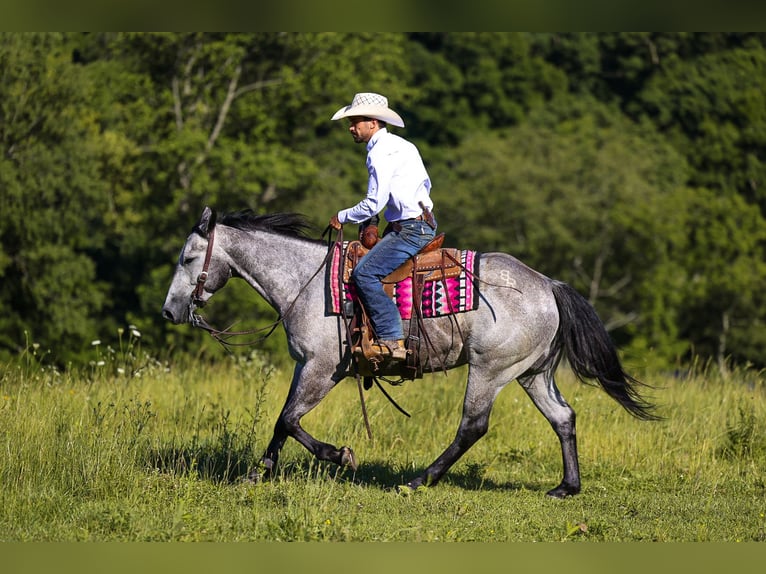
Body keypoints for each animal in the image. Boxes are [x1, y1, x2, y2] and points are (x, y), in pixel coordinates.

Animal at [161, 206, 658, 498]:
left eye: (188, 258)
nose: (169, 311)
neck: (306, 282)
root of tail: (548, 285)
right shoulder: (307, 367)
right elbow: (283, 419)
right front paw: (260, 472)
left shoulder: (323, 368)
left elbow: (289, 419)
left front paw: (340, 455)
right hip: (531, 372)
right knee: (563, 417)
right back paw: (566, 487)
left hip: (490, 370)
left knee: (472, 427)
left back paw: (419, 480)